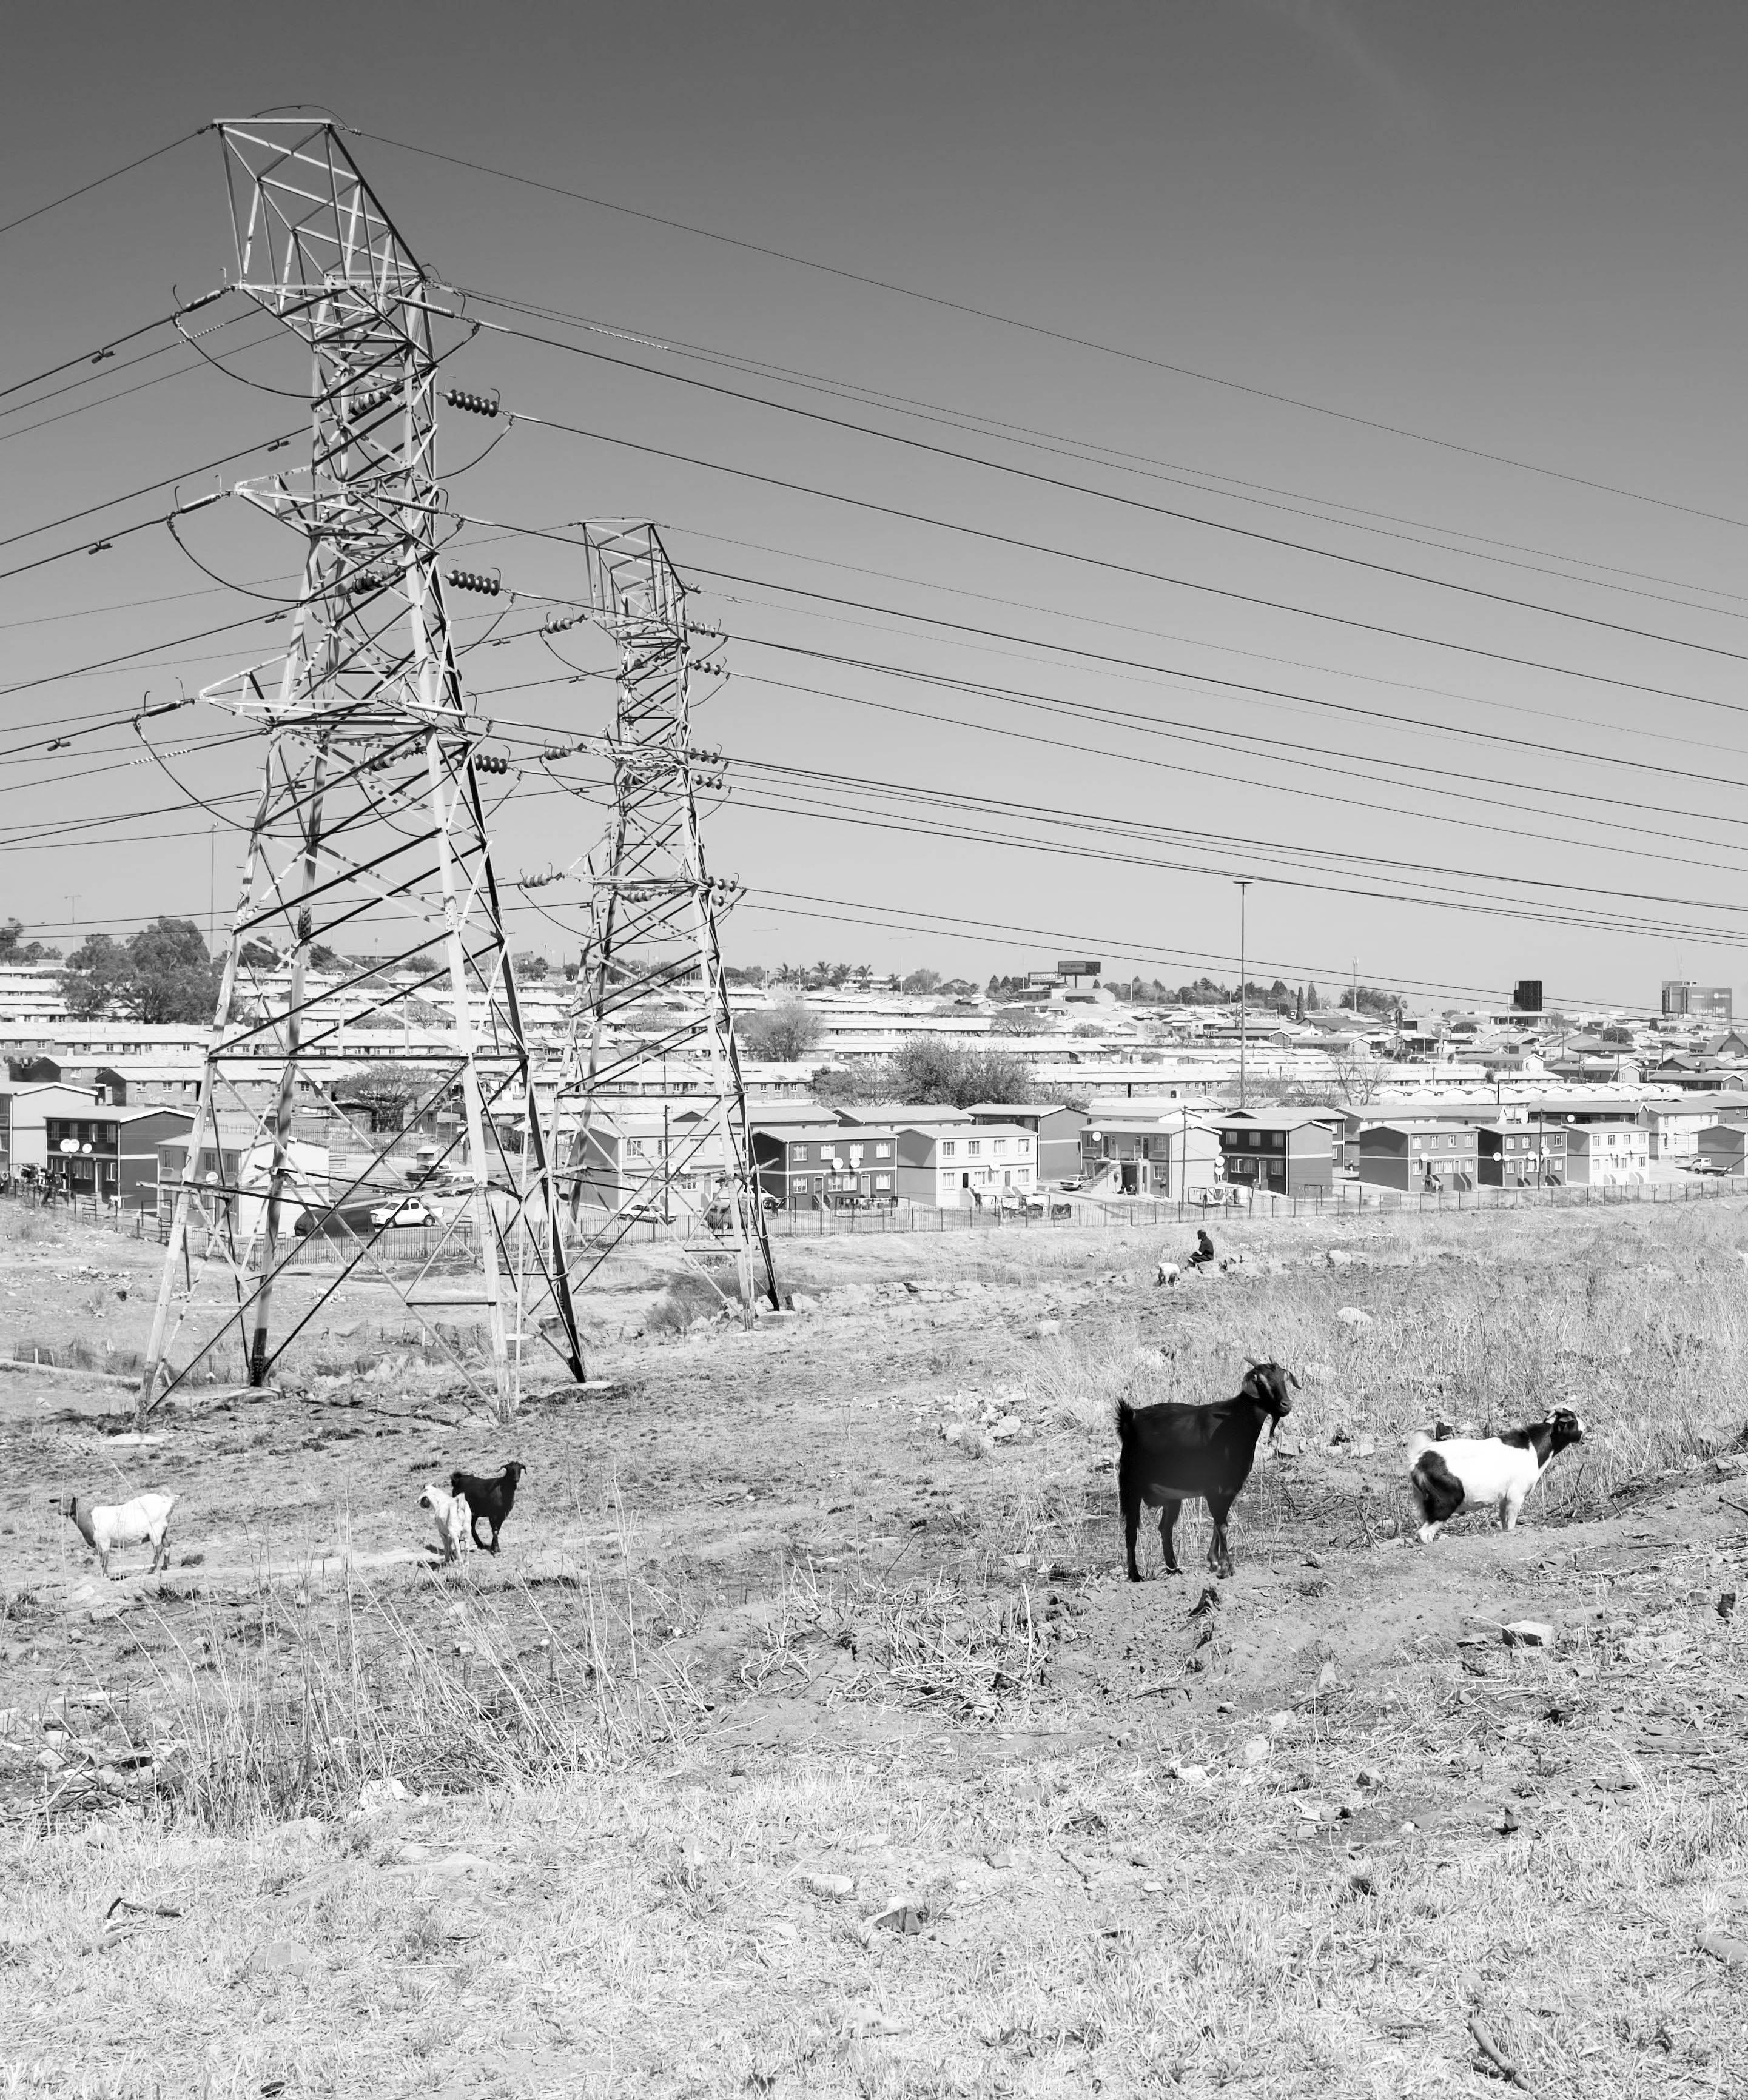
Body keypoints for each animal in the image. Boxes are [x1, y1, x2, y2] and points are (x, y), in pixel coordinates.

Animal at [54, 1490, 175, 1578]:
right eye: (59, 1501)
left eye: (70, 1500)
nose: (60, 1511)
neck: (88, 1516)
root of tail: (168, 1501)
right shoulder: (99, 1544)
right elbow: (102, 1559)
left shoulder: (104, 1541)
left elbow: (105, 1559)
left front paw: (105, 1575)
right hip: (163, 1530)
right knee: (167, 1543)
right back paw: (165, 1566)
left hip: (155, 1530)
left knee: (158, 1548)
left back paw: (151, 1570)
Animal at [418, 1483, 474, 1565]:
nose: (422, 1505)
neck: (440, 1501)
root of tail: (460, 1505)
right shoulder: (449, 1534)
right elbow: (449, 1544)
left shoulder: (442, 1532)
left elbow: (446, 1545)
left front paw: (447, 1560)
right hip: (468, 1531)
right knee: (467, 1548)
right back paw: (466, 1563)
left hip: (454, 1531)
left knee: (457, 1547)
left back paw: (460, 1563)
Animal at [449, 1460, 525, 1554]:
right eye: (510, 1469)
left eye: (520, 1468)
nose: (516, 1479)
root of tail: (457, 1480)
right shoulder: (493, 1514)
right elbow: (495, 1530)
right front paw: (496, 1549)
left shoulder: (503, 1514)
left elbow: (498, 1529)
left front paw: (493, 1547)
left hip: (474, 1513)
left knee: (472, 1526)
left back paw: (480, 1544)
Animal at [1116, 1360, 1297, 1581]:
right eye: (1261, 1382)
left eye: (1283, 1378)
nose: (1286, 1405)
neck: (1234, 1424)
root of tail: (1130, 1418)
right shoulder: (1214, 1488)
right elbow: (1222, 1526)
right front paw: (1226, 1567)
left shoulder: (1229, 1489)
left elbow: (1219, 1525)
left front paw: (1214, 1562)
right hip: (1130, 1485)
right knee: (1131, 1530)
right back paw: (1135, 1575)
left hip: (1171, 1496)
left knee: (1165, 1528)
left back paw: (1174, 1568)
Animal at [1406, 1408, 1585, 1542]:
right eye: (1574, 1422)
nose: (1586, 1428)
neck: (1533, 1448)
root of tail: (1419, 1461)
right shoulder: (1516, 1496)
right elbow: (1511, 1525)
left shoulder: (1504, 1499)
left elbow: (1505, 1525)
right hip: (1444, 1503)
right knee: (1423, 1533)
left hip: (1424, 1503)